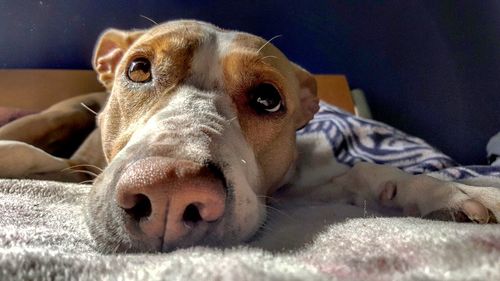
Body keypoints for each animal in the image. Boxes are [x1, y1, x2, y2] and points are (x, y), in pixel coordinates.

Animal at [0, 19, 500, 252]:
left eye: (267, 99)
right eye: (139, 69)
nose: (169, 194)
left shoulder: (292, 190)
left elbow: (367, 173)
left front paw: (454, 191)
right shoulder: (77, 167)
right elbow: (30, 157)